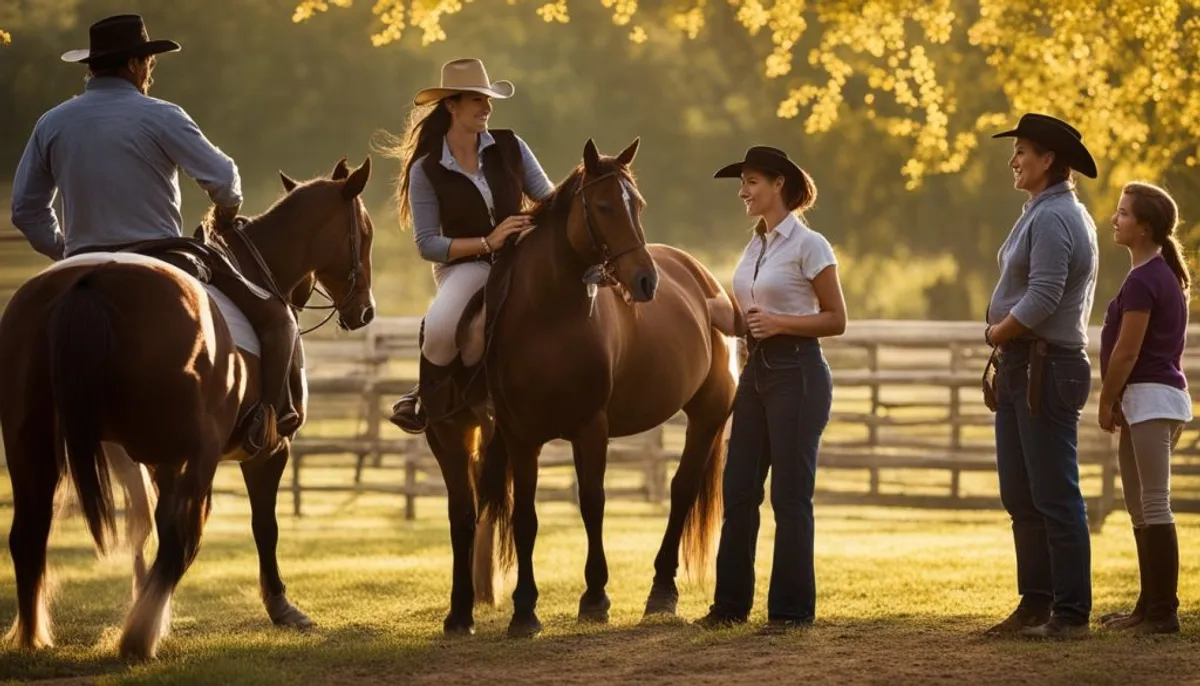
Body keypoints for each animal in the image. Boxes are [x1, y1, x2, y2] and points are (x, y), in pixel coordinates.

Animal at [0, 157, 374, 657]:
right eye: (365, 233)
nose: (365, 311)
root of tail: (91, 282)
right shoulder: (268, 451)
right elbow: (264, 526)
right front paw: (281, 607)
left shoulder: (158, 461)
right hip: (198, 453)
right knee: (181, 539)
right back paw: (138, 636)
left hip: (33, 443)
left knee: (31, 532)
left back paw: (34, 635)